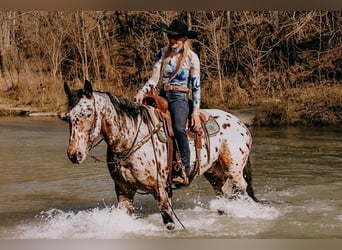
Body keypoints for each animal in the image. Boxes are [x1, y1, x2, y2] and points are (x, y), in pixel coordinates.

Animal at [63, 80, 256, 230]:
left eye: (88, 113)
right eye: (67, 117)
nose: (74, 154)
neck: (130, 138)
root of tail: (240, 123)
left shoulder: (160, 190)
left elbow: (169, 223)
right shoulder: (123, 191)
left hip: (234, 171)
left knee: (243, 192)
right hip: (215, 174)